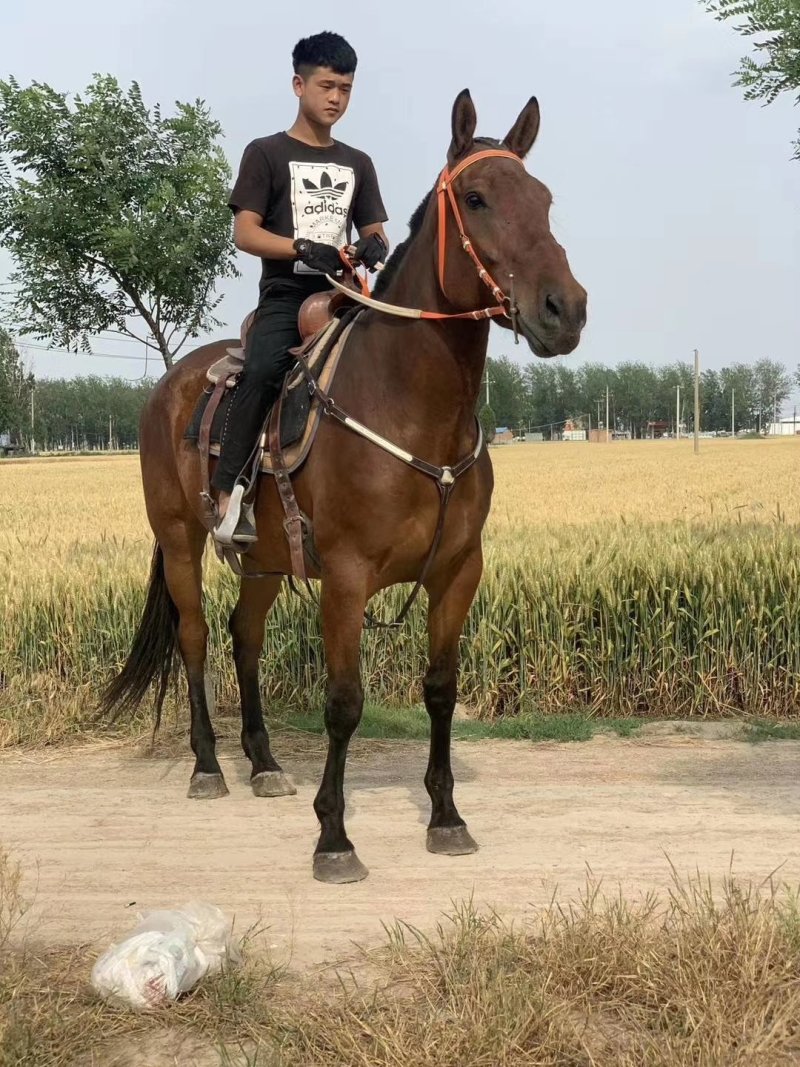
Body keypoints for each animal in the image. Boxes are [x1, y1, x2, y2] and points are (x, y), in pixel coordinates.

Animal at [103, 89, 587, 883]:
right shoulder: (348, 576)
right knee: (197, 637)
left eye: (544, 199)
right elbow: (343, 701)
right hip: (177, 539)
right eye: (477, 199)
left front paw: (446, 816)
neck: (413, 407)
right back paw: (208, 766)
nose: (564, 309)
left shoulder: (459, 571)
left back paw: (264, 762)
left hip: (266, 558)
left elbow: (441, 689)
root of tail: (171, 384)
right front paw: (334, 836)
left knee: (244, 636)